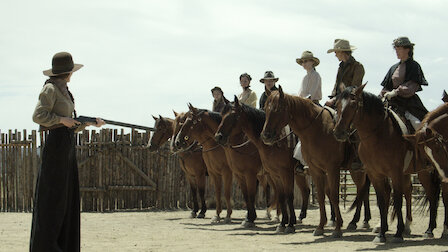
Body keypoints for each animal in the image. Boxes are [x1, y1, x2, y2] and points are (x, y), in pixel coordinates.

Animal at [215, 97, 310, 232]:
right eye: (222, 115)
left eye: (233, 116)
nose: (218, 137)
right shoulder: (242, 175)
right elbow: (248, 195)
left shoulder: (256, 174)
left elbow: (255, 195)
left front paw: (251, 219)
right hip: (298, 174)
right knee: (305, 191)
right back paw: (299, 217)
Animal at [260, 85, 372, 237]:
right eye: (266, 108)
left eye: (278, 109)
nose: (266, 136)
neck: (317, 129)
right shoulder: (315, 170)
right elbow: (320, 196)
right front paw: (320, 227)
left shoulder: (332, 169)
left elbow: (334, 195)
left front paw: (337, 228)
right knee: (362, 191)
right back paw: (358, 221)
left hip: (358, 170)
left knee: (362, 191)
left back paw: (357, 221)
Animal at [332, 84, 430, 242]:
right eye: (337, 105)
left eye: (353, 104)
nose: (339, 132)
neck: (378, 136)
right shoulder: (375, 174)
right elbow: (381, 201)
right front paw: (382, 233)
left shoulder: (395, 172)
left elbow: (397, 200)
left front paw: (398, 233)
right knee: (408, 191)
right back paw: (408, 226)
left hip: (425, 172)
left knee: (432, 194)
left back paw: (429, 230)